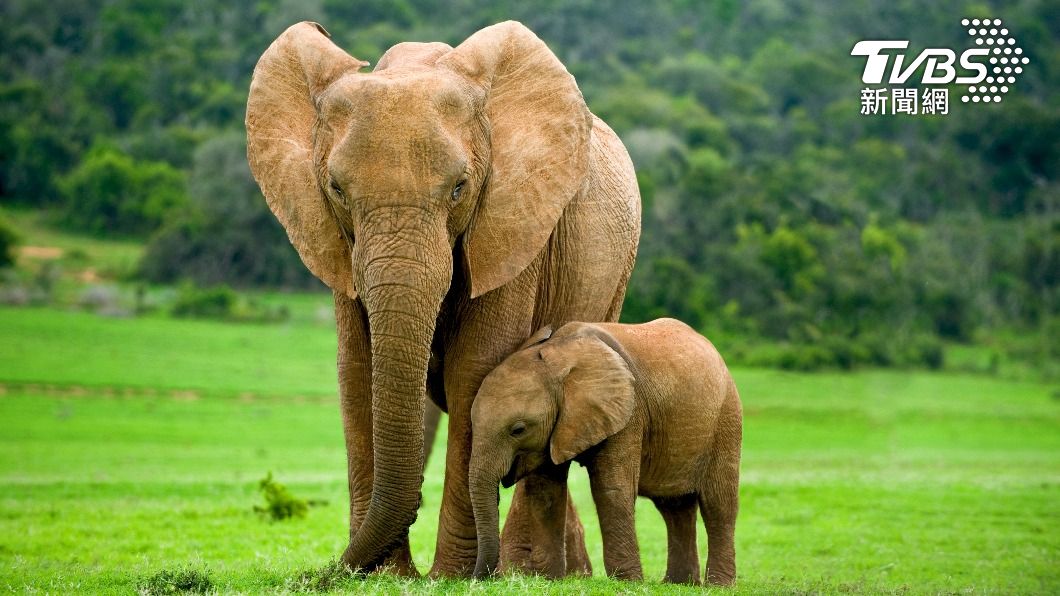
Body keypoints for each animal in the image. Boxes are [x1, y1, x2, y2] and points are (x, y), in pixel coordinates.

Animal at [245, 21, 640, 577]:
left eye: (459, 188)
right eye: (337, 189)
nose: (325, 573)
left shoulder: (512, 223)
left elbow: (475, 369)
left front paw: (450, 577)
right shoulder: (337, 243)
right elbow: (357, 369)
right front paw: (386, 576)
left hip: (615, 274)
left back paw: (531, 572)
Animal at [468, 319, 743, 585]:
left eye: (518, 429)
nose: (479, 578)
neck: (558, 356)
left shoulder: (628, 412)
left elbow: (611, 488)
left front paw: (628, 582)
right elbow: (546, 492)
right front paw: (549, 579)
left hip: (727, 418)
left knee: (718, 503)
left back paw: (718, 585)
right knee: (674, 506)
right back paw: (679, 584)